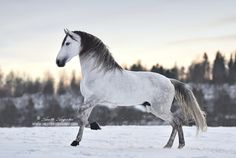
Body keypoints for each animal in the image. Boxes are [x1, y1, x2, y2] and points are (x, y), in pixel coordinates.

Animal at [55, 29, 206, 149]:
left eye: (67, 43)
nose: (58, 62)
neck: (97, 72)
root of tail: (170, 81)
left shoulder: (94, 99)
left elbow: (80, 114)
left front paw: (94, 126)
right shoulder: (88, 100)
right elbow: (82, 118)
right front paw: (76, 141)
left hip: (160, 109)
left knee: (177, 121)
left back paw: (177, 145)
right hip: (155, 109)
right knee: (175, 123)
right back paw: (171, 145)